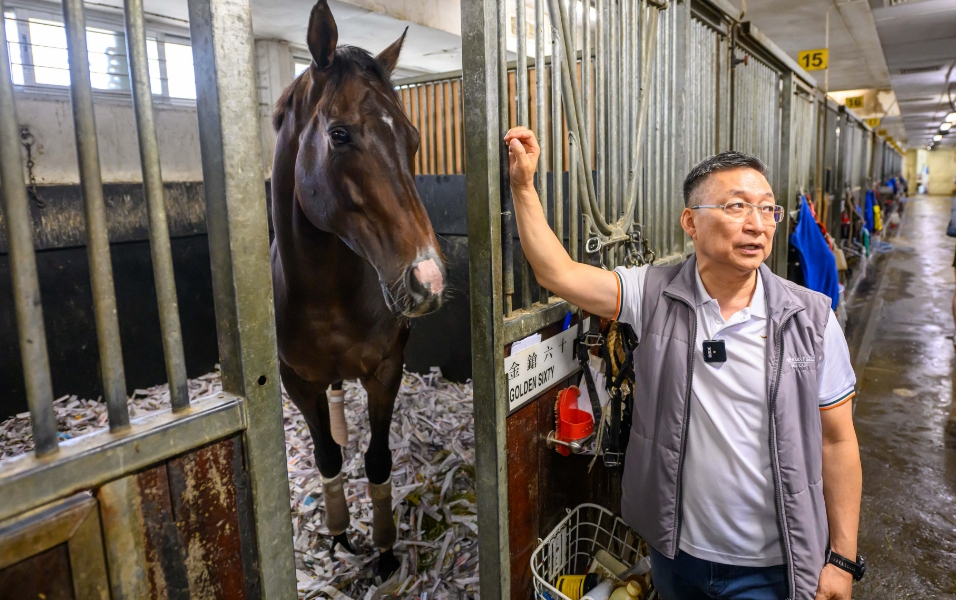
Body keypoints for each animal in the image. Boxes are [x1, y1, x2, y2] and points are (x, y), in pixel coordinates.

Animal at [268, 0, 448, 580]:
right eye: (340, 134)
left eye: (413, 138)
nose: (428, 279)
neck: (327, 296)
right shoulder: (294, 381)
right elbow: (326, 455)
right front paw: (339, 533)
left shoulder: (386, 369)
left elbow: (378, 459)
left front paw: (387, 552)